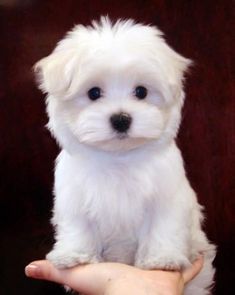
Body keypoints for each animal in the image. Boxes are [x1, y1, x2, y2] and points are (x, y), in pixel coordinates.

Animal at [34, 17, 215, 294]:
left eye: (141, 92)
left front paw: (162, 259)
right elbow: (78, 226)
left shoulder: (167, 197)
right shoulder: (74, 197)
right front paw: (74, 255)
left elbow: (163, 226)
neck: (119, 158)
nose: (121, 119)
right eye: (94, 93)